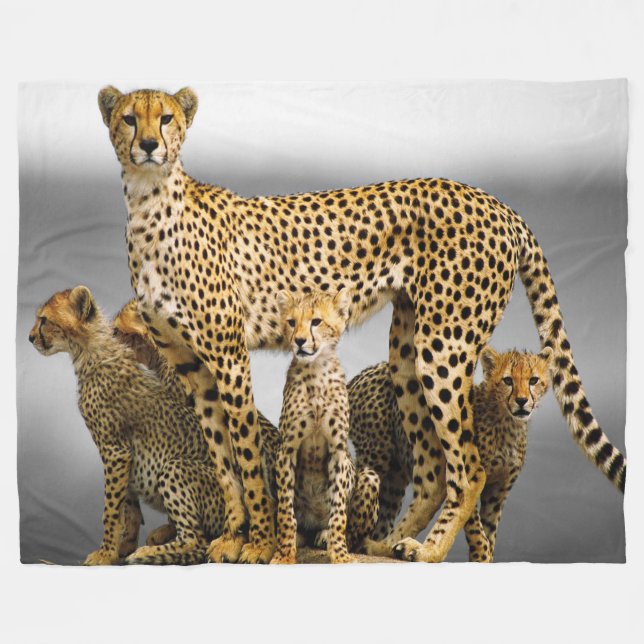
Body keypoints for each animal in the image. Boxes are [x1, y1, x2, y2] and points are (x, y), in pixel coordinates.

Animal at [29, 286, 227, 565]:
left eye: (44, 320)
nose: (29, 337)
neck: (89, 352)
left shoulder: (115, 451)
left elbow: (111, 508)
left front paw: (105, 553)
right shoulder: (125, 455)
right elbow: (128, 505)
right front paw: (122, 547)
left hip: (176, 468)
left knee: (198, 541)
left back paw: (149, 553)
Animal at [271, 290, 379, 564]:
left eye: (316, 322)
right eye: (291, 322)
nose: (299, 341)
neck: (316, 371)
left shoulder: (339, 451)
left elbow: (339, 512)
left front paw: (339, 554)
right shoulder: (286, 449)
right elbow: (285, 510)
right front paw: (285, 553)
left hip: (370, 476)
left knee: (354, 533)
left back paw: (326, 536)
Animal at [350, 346, 554, 561]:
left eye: (533, 380)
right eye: (508, 380)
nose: (522, 401)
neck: (507, 421)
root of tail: (365, 372)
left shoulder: (498, 492)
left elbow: (489, 532)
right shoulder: (468, 477)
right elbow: (477, 531)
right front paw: (481, 555)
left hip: (395, 479)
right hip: (376, 457)